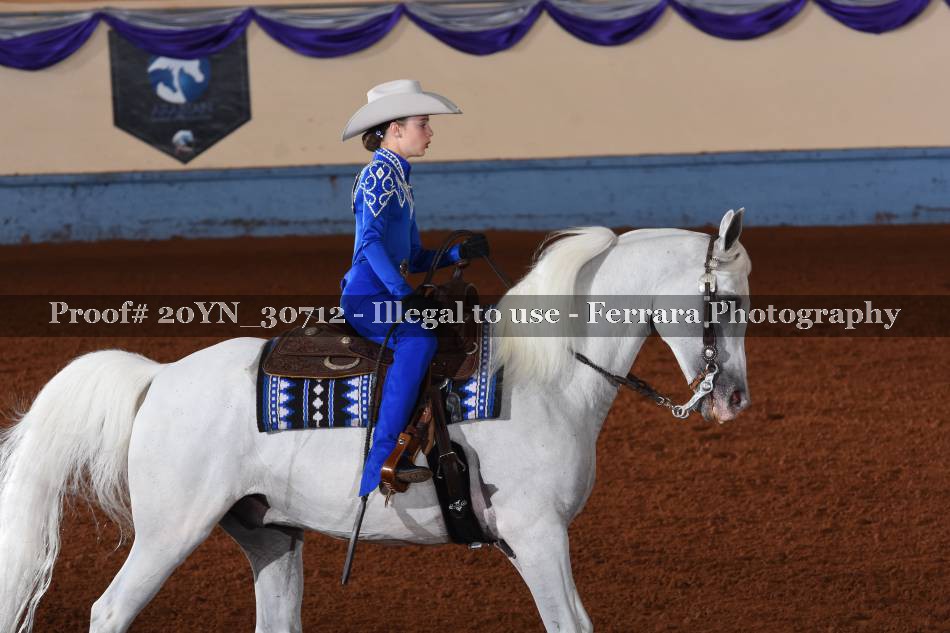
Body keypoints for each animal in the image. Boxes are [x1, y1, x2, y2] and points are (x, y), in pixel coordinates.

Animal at [0, 209, 751, 633]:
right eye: (727, 299)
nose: (733, 398)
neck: (545, 375)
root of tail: (158, 378)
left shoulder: (528, 539)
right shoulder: (537, 534)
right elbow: (571, 624)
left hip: (270, 533)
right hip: (169, 529)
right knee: (109, 611)